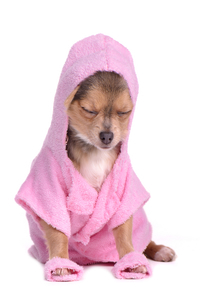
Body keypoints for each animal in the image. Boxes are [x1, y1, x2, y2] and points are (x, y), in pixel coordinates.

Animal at [39, 71, 175, 278]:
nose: (107, 136)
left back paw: (159, 250)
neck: (94, 152)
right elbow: (57, 233)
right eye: (89, 110)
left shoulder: (121, 194)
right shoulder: (51, 195)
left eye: (123, 112)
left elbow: (124, 234)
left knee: (143, 241)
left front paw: (131, 261)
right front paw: (60, 261)